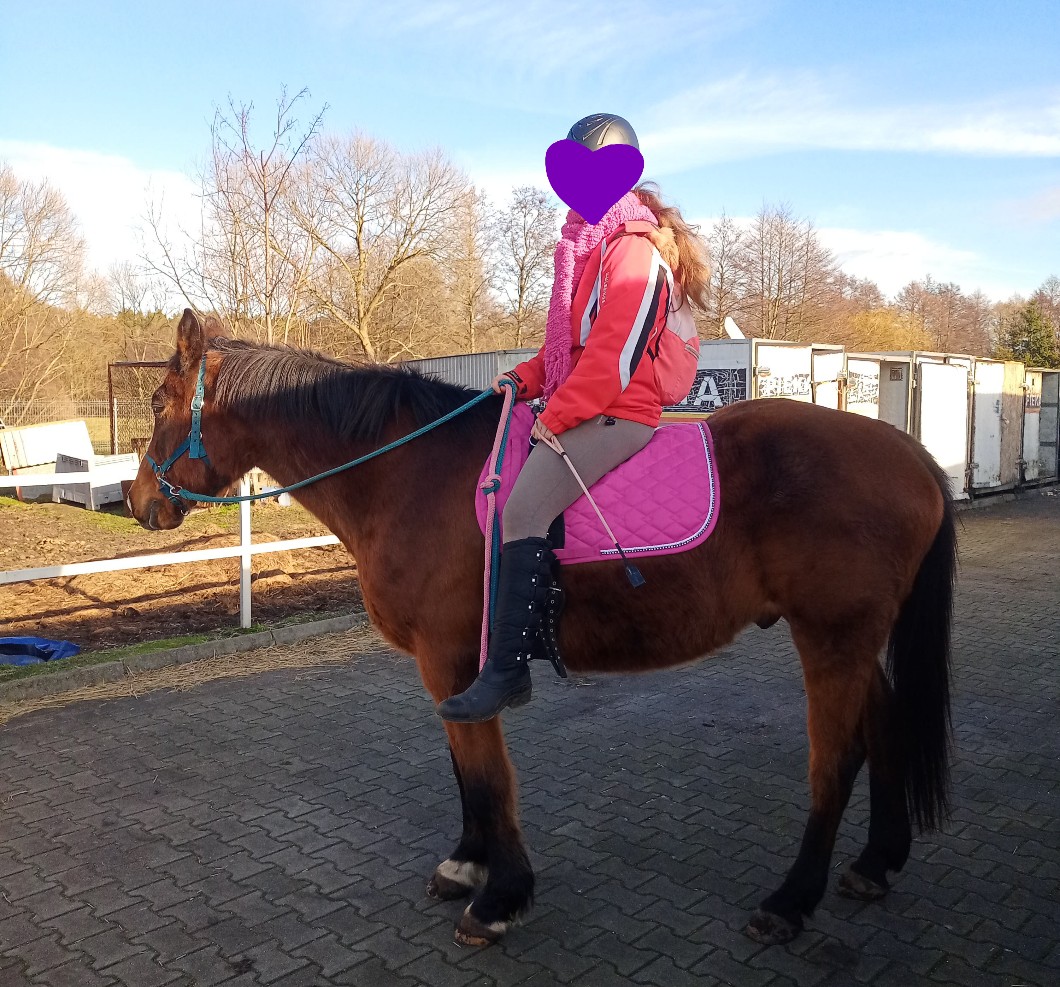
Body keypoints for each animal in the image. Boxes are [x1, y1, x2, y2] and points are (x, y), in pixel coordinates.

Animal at [126, 310, 956, 948]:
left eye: (161, 400)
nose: (139, 502)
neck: (411, 472)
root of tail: (911, 452)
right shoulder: (453, 666)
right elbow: (463, 765)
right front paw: (468, 862)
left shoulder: (451, 658)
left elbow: (488, 774)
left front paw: (500, 896)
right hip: (850, 641)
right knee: (883, 727)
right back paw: (875, 862)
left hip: (831, 638)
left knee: (835, 759)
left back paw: (790, 900)